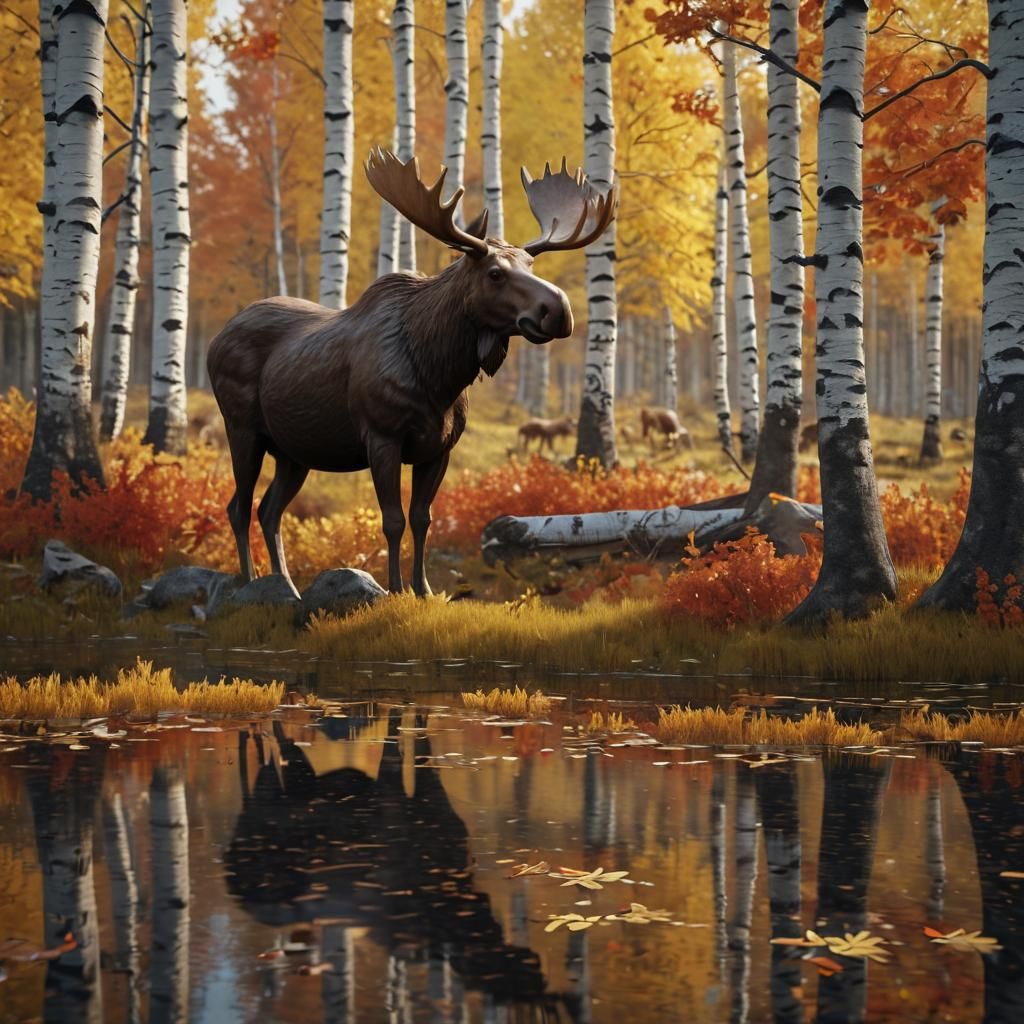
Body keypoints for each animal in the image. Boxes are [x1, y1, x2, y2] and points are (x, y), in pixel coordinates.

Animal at [207, 149, 617, 597]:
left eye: (530, 263)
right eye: (494, 273)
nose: (559, 309)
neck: (439, 376)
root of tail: (215, 341)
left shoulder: (439, 447)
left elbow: (423, 518)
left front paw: (424, 588)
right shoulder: (382, 437)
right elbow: (393, 520)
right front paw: (395, 589)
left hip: (293, 451)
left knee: (269, 510)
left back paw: (287, 587)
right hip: (242, 428)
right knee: (239, 507)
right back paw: (249, 583)